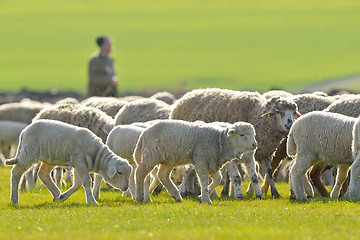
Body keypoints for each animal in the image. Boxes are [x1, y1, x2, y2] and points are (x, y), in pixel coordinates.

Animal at [4, 120, 132, 204]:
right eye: (119, 172)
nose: (126, 187)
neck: (97, 155)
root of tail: (24, 131)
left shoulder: (79, 165)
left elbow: (78, 184)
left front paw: (62, 197)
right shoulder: (80, 161)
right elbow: (87, 182)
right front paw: (92, 201)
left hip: (49, 157)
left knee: (43, 173)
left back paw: (56, 193)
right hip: (28, 153)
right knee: (16, 172)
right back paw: (14, 199)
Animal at [170, 88, 300, 197]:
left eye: (294, 113)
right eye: (278, 111)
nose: (289, 125)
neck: (258, 117)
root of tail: (188, 95)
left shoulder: (266, 153)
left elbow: (269, 173)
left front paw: (274, 192)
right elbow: (231, 175)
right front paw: (226, 192)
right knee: (186, 170)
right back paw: (186, 191)